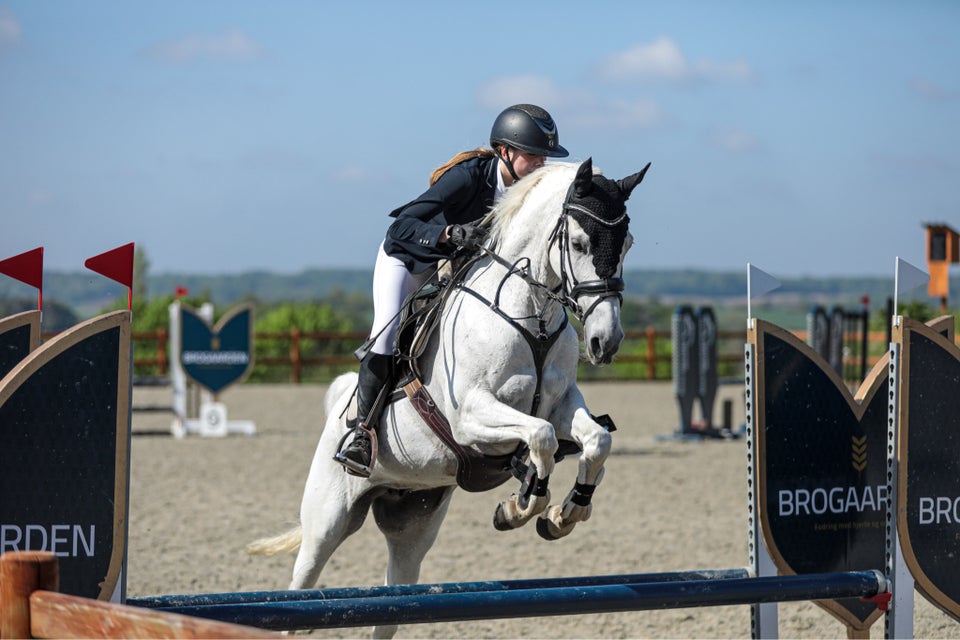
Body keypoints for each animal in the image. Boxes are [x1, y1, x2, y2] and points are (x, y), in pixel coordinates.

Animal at [251, 158, 648, 636]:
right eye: (578, 242)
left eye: (627, 244)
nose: (605, 342)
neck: (527, 311)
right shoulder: (471, 416)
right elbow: (541, 437)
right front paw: (522, 504)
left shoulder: (562, 404)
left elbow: (594, 441)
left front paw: (562, 513)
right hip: (327, 520)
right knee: (302, 586)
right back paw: (358, 447)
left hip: (413, 525)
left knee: (392, 605)